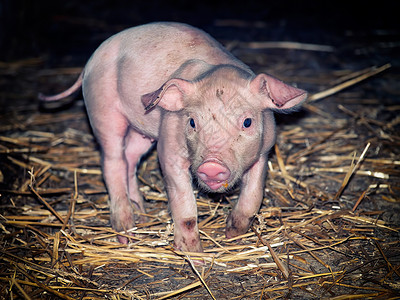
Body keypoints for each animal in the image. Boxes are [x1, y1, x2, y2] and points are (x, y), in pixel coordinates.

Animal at [40, 22, 306, 252]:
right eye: (192, 122)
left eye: (247, 122)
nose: (211, 165)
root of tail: (91, 60)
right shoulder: (168, 147)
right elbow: (184, 206)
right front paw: (194, 254)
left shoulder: (264, 150)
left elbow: (254, 194)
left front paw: (232, 234)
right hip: (102, 107)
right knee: (112, 160)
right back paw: (127, 232)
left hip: (142, 130)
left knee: (130, 157)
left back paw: (141, 209)